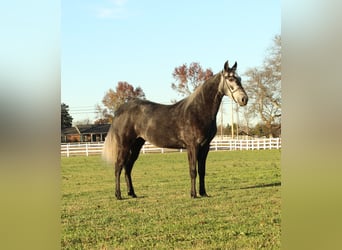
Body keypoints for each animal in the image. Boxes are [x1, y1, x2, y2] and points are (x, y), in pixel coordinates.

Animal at [102, 60, 248, 199]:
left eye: (239, 78)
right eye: (230, 79)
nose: (244, 99)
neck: (198, 110)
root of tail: (120, 110)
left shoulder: (205, 147)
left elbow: (202, 171)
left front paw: (203, 193)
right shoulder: (192, 146)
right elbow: (193, 170)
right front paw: (193, 194)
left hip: (136, 145)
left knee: (128, 168)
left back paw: (132, 193)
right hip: (124, 146)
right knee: (118, 167)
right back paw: (118, 195)